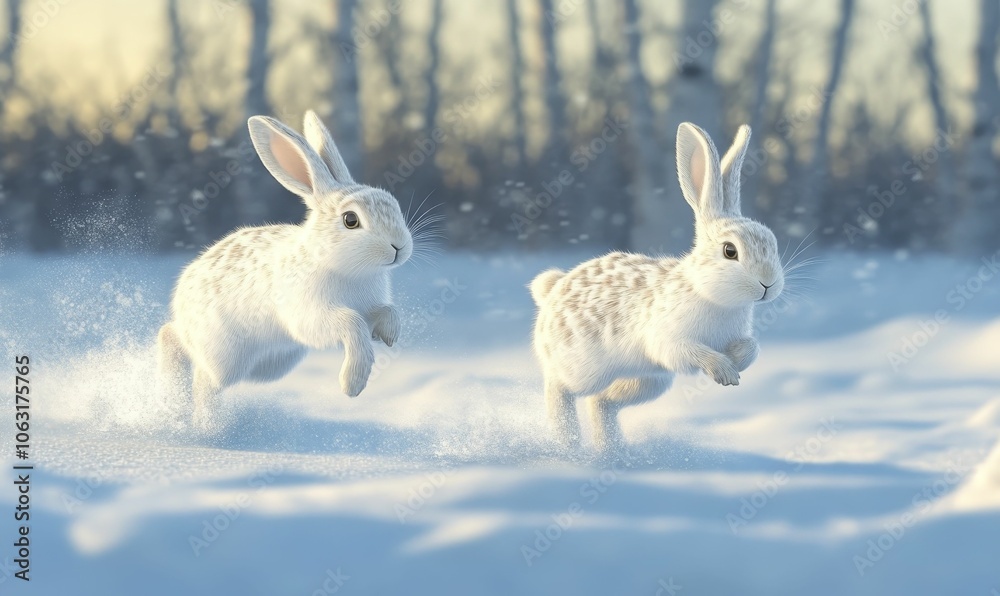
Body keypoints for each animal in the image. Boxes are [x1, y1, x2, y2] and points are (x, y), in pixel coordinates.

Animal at [157, 110, 413, 428]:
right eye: (351, 220)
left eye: (394, 204)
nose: (399, 247)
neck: (341, 264)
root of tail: (181, 298)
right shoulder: (312, 313)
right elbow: (350, 324)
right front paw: (352, 385)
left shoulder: (370, 305)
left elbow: (385, 312)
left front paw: (388, 336)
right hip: (224, 353)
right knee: (196, 368)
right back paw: (201, 424)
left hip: (267, 365)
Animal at [530, 122, 784, 453]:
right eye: (730, 251)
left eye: (773, 242)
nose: (769, 284)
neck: (710, 293)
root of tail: (552, 291)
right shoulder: (669, 340)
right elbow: (689, 351)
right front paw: (725, 373)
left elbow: (752, 348)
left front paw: (736, 363)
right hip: (582, 368)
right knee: (560, 389)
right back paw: (567, 445)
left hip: (648, 381)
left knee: (601, 403)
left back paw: (611, 452)